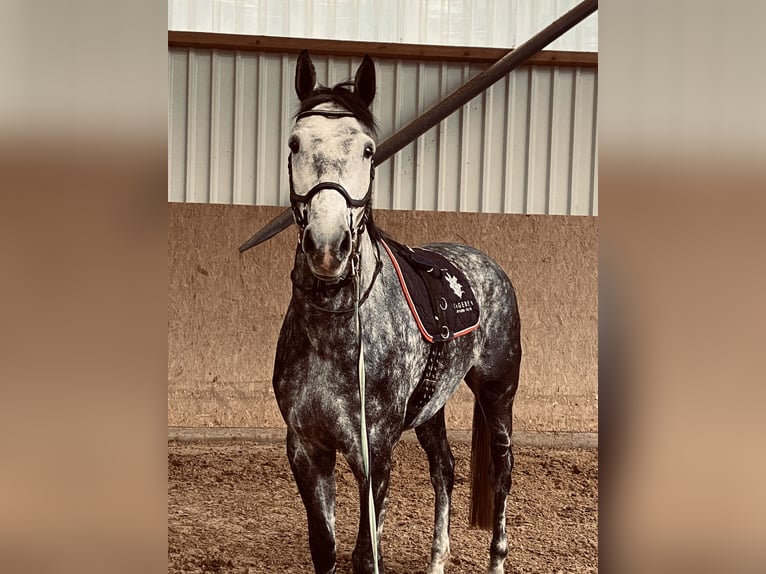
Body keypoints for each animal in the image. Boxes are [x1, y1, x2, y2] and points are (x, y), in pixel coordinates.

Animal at [264, 51, 520, 572]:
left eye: (367, 150)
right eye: (295, 143)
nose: (328, 247)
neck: (334, 328)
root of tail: (487, 266)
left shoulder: (376, 454)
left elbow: (366, 554)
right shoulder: (306, 449)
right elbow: (325, 548)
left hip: (498, 394)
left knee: (502, 472)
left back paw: (496, 559)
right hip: (430, 408)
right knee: (444, 469)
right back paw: (437, 561)